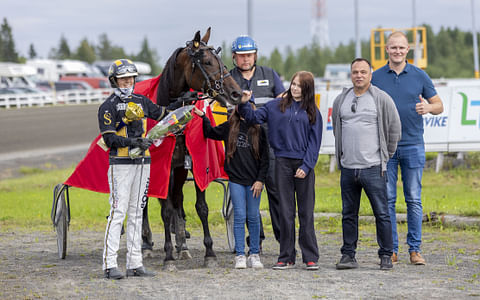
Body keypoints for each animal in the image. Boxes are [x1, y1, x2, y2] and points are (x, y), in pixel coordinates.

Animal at [141, 27, 242, 268]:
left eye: (221, 60)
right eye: (207, 62)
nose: (236, 93)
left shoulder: (192, 164)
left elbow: (200, 207)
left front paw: (209, 253)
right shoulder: (164, 167)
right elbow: (166, 210)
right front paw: (168, 256)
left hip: (179, 171)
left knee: (178, 199)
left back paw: (182, 244)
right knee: (146, 204)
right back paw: (147, 244)